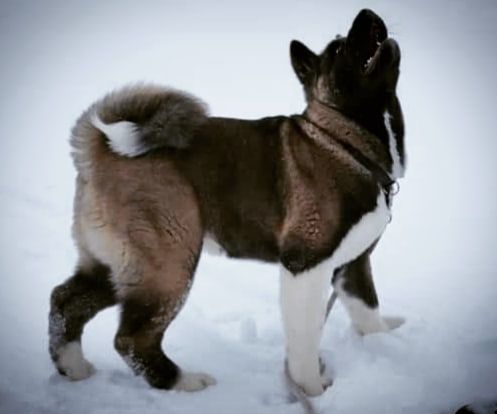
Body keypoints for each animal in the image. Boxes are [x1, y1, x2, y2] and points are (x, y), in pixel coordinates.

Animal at [49, 9, 406, 397]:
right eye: (339, 50)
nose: (367, 13)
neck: (342, 140)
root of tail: (98, 149)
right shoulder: (305, 264)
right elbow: (305, 339)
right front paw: (310, 390)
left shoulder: (352, 263)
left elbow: (366, 309)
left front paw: (382, 340)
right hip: (169, 261)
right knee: (131, 338)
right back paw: (183, 381)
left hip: (115, 263)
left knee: (65, 301)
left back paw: (74, 367)